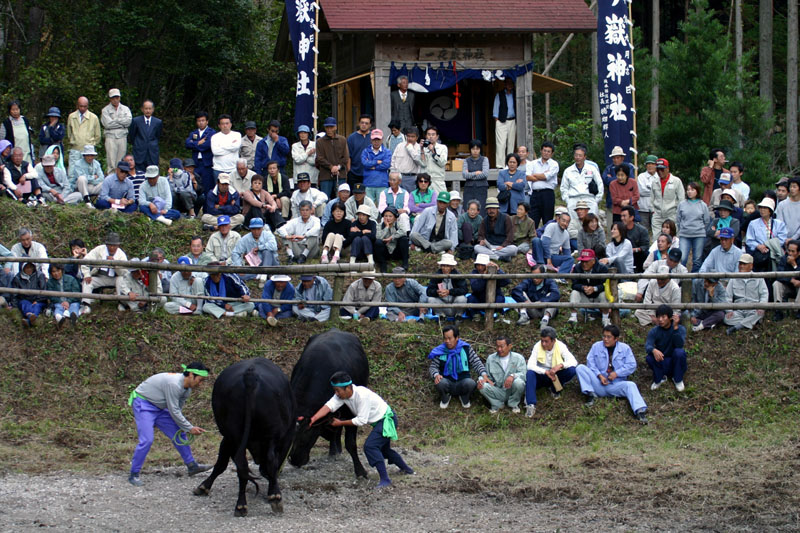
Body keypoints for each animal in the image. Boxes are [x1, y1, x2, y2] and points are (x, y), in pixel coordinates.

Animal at [194, 358, 296, 516]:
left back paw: (241, 505)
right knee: (269, 460)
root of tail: (250, 376)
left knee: (242, 464)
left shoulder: (228, 438)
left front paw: (204, 486)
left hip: (235, 433)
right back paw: (274, 496)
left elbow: (221, 463)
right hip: (268, 432)